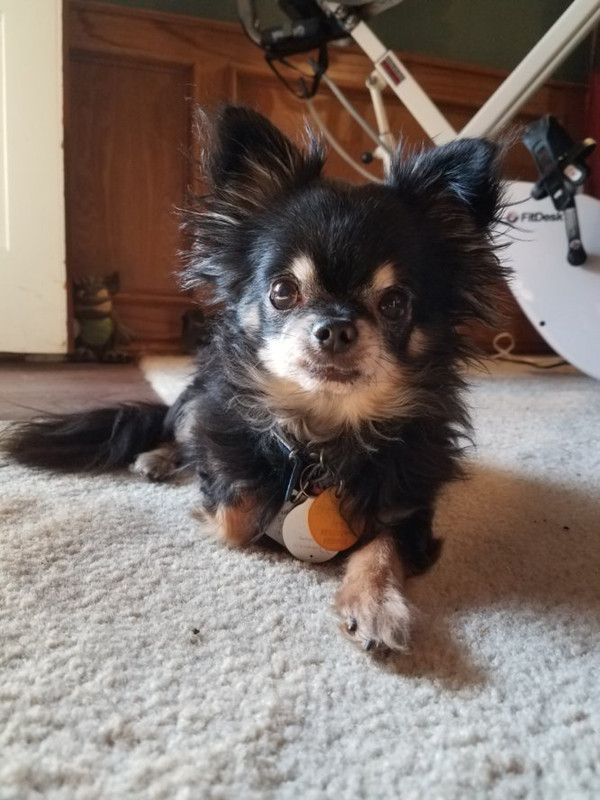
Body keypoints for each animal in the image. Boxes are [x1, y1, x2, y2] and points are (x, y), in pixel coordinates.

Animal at [6, 106, 507, 652]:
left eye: (395, 303)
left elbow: (381, 544)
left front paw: (374, 603)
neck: (320, 438)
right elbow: (236, 511)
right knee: (179, 429)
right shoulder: (223, 446)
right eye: (283, 291)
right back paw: (159, 457)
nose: (335, 327)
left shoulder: (412, 505)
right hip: (193, 397)